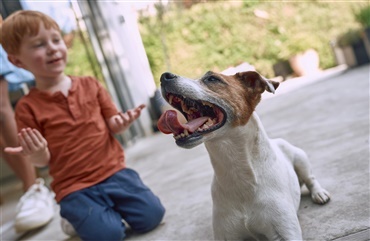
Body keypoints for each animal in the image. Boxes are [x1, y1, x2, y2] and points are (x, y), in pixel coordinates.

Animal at [158, 70, 330, 240]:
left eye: (212, 78)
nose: (164, 76)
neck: (237, 170)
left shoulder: (287, 232)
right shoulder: (225, 235)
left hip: (300, 158)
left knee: (310, 179)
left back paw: (319, 193)